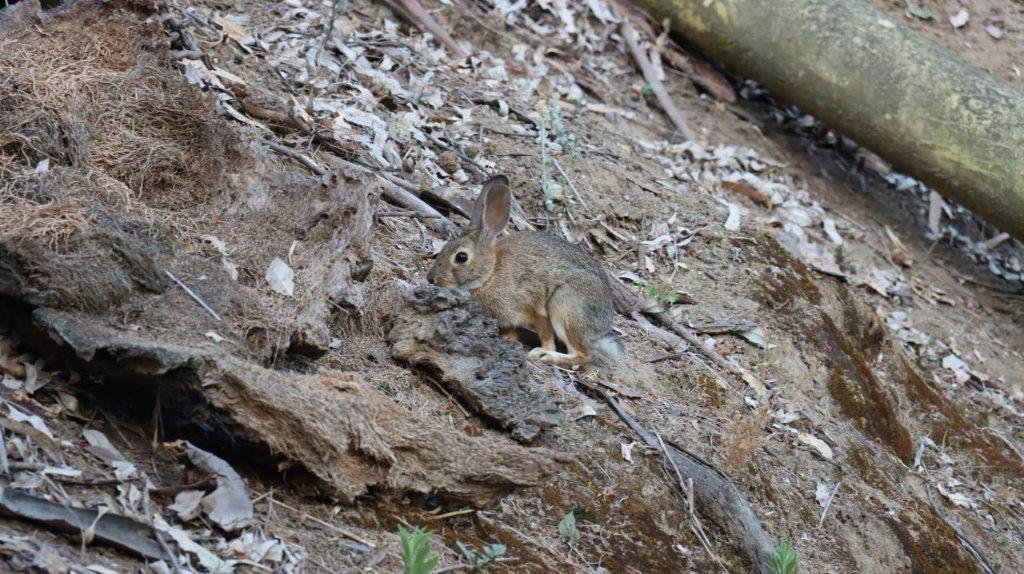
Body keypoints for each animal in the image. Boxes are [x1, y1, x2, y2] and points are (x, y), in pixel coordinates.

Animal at [423, 171, 622, 364]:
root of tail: (601, 327)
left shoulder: (534, 306)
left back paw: (548, 357)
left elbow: (546, 335)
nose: (431, 278)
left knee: (584, 354)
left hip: (565, 305)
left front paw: (541, 351)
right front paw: (508, 338)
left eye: (461, 257)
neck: (489, 274)